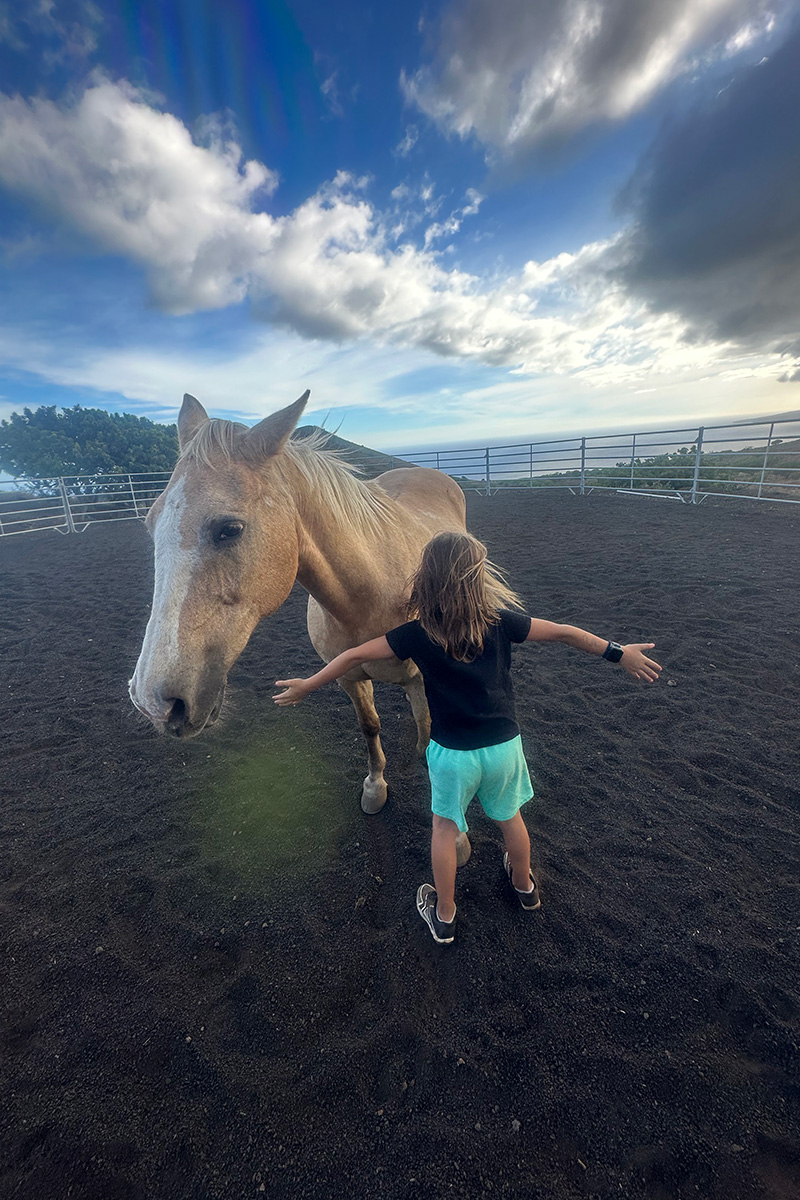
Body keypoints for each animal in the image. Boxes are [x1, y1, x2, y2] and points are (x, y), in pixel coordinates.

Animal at [128, 391, 472, 864]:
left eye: (229, 529)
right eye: (149, 524)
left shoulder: (425, 674)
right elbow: (371, 726)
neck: (374, 592)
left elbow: (436, 736)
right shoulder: (348, 677)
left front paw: (453, 835)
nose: (154, 703)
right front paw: (375, 788)